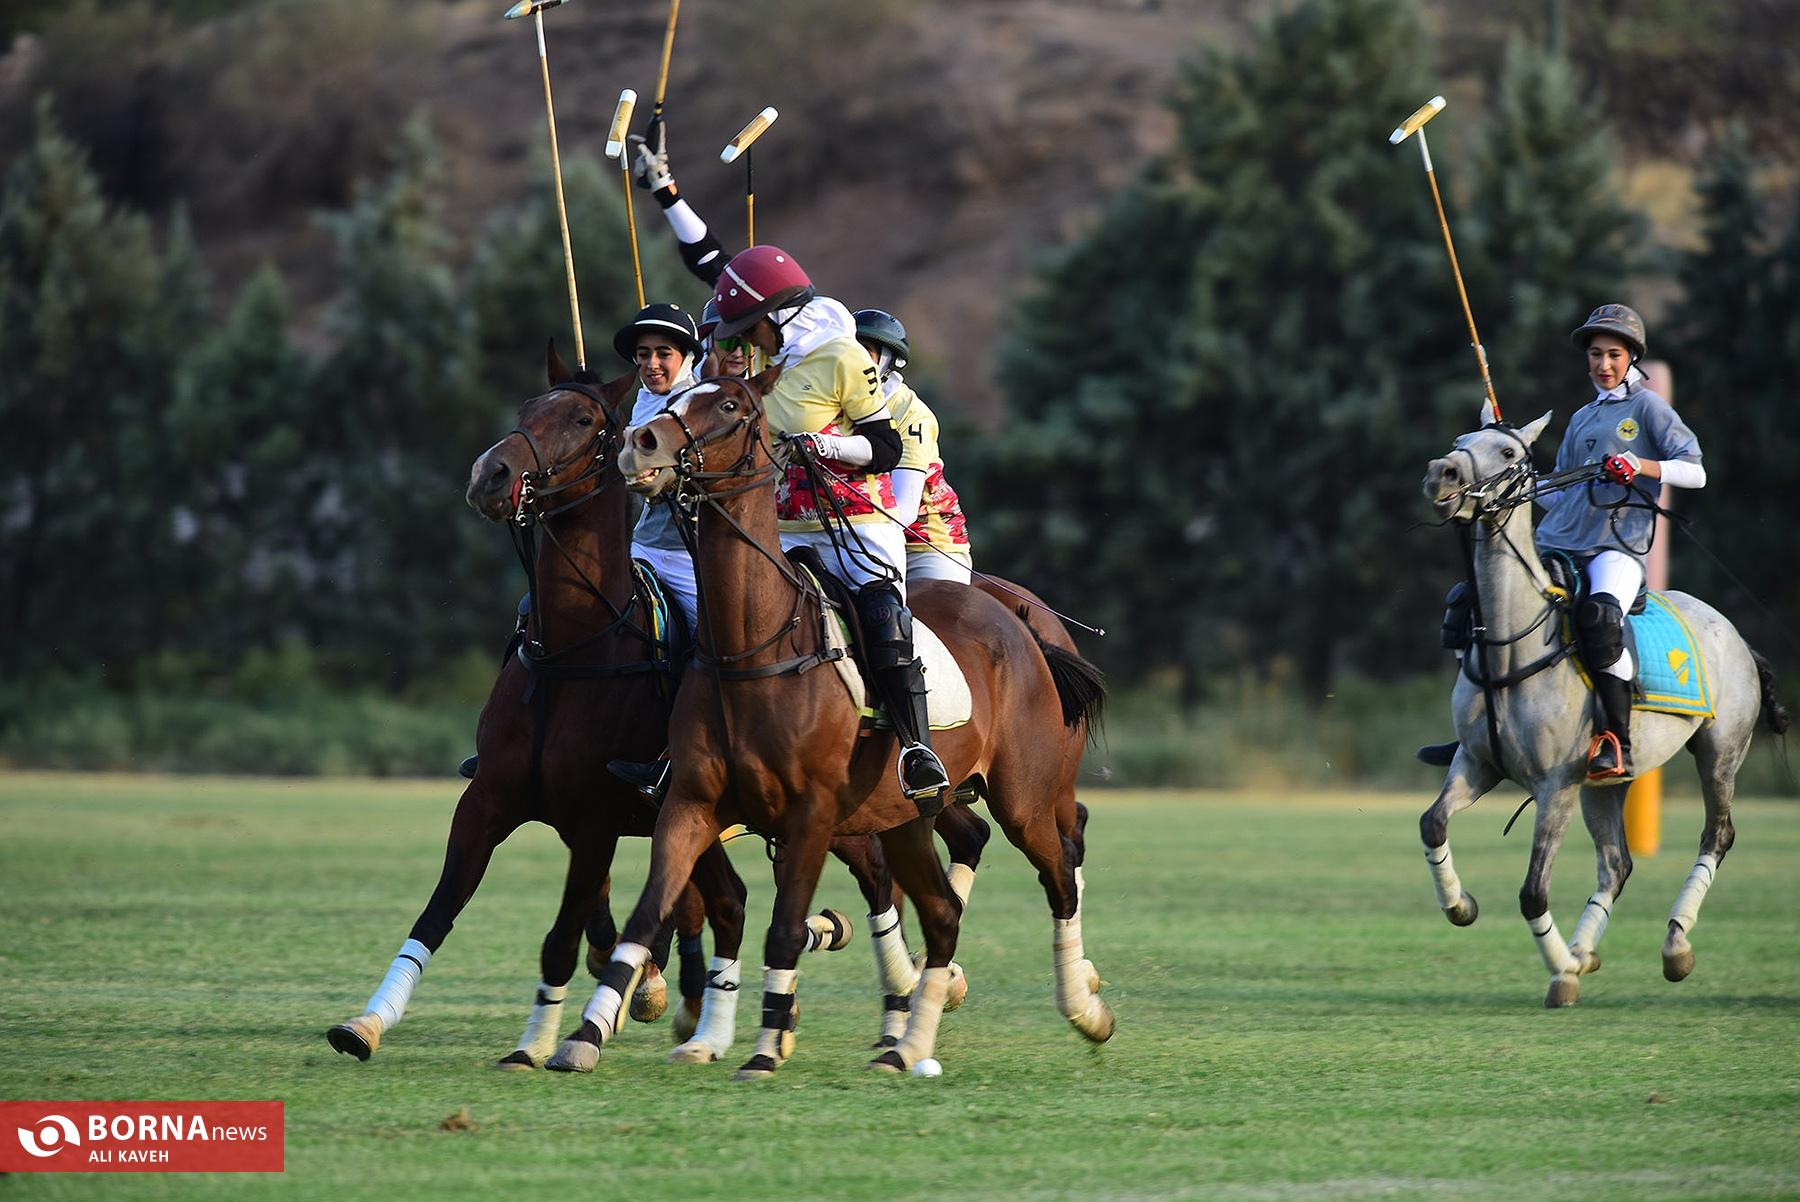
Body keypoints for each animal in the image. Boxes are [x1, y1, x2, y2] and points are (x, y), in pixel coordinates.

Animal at [546, 369, 1113, 1080]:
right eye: (677, 396)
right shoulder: (689, 803)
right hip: (904, 818)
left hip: (1024, 796)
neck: (752, 648)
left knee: (1060, 868)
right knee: (944, 911)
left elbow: (785, 927)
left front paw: (764, 1049)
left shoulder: (812, 812)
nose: (640, 443)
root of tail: (1022, 625)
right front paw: (584, 1036)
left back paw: (1084, 1007)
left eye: (730, 404)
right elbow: (648, 914)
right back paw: (909, 1046)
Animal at [1419, 413, 1789, 1007]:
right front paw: (1461, 906)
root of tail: (1733, 632)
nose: (1440, 475)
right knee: (1617, 863)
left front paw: (1561, 975)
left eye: (1507, 451)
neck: (1510, 646)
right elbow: (1432, 823)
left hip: (1720, 751)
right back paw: (1584, 950)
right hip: (1606, 782)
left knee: (1718, 835)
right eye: (1459, 444)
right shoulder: (1477, 764)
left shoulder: (1555, 786)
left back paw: (1674, 945)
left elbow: (1532, 891)